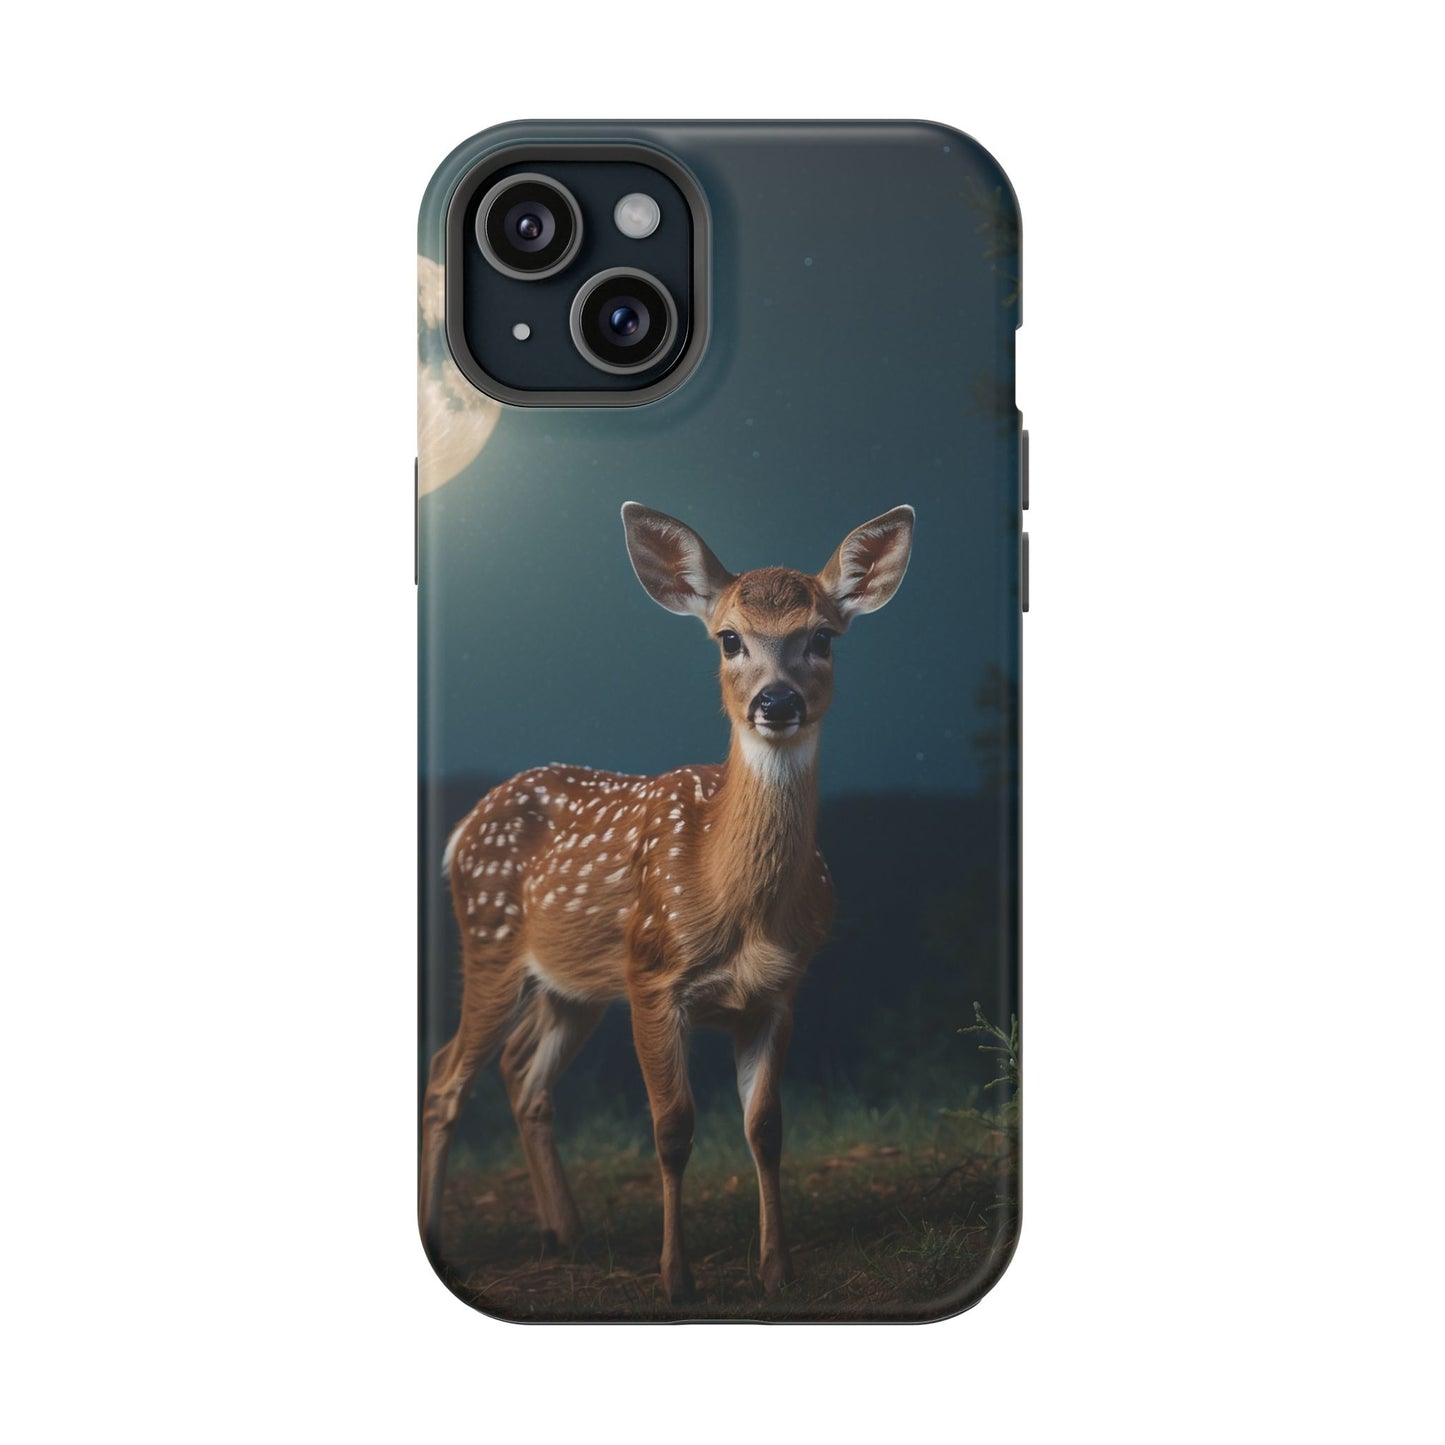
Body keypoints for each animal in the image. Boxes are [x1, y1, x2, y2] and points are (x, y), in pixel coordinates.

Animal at [420, 500, 914, 1302]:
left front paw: (777, 1270)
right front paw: (676, 1278)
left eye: (822, 637)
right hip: (491, 939)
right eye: (728, 637)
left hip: (576, 983)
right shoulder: (653, 977)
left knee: (522, 1072)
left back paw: (566, 1233)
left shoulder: (778, 991)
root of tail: (465, 826)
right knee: (445, 1073)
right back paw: (446, 1233)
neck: (734, 903)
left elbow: (766, 1127)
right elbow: (673, 1127)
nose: (777, 701)